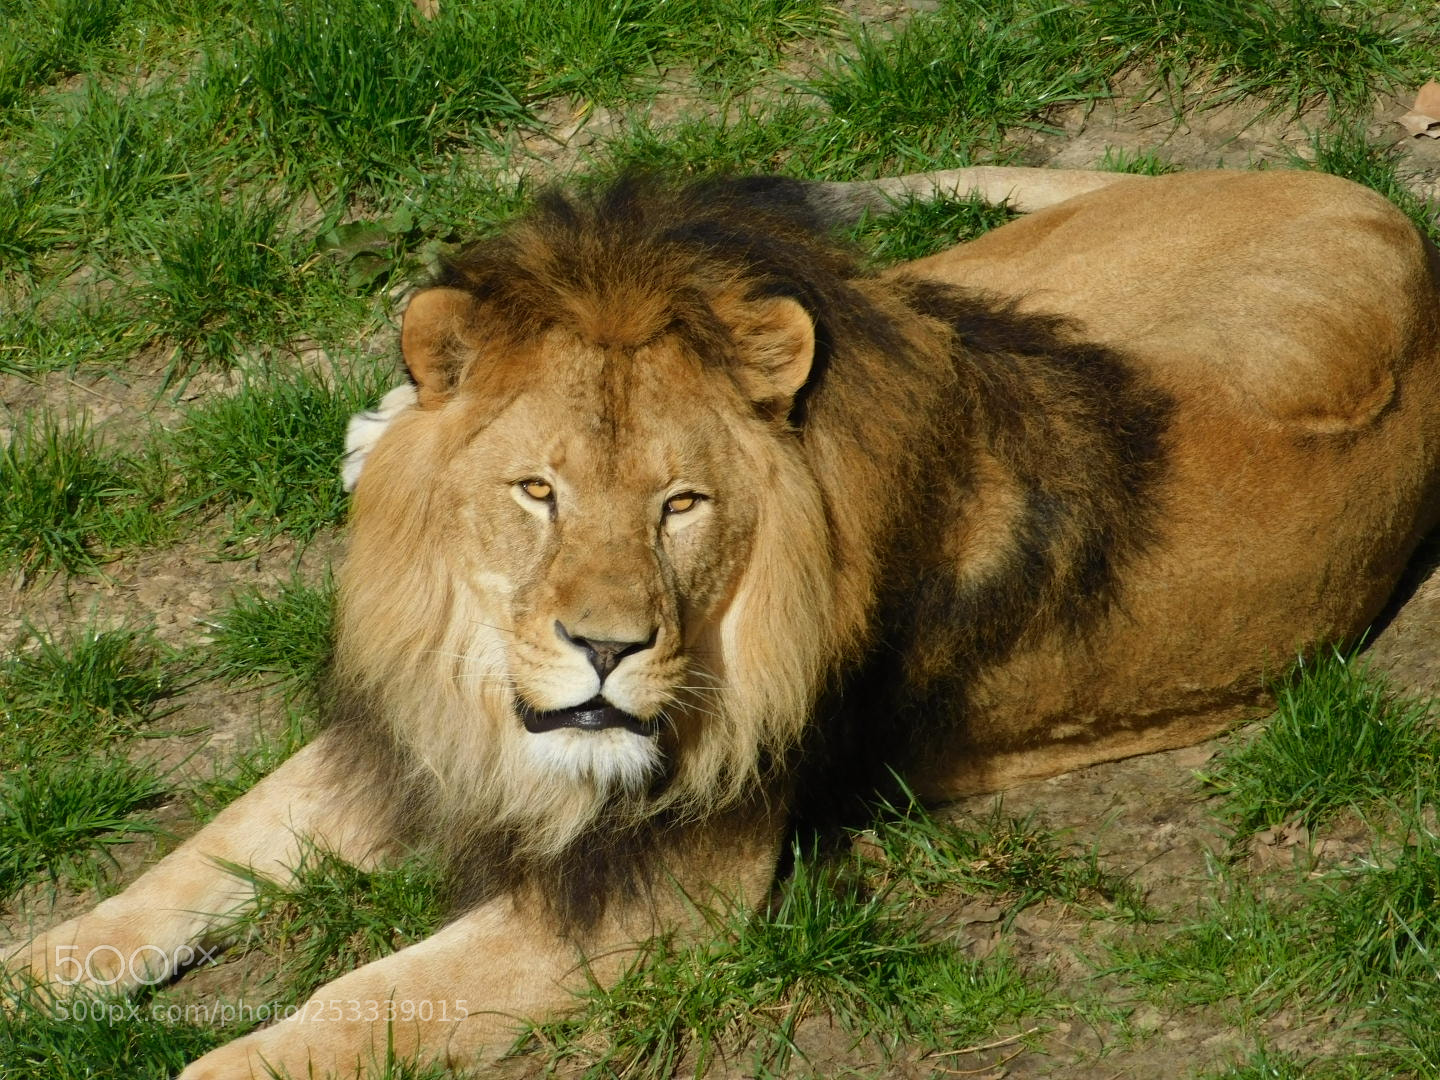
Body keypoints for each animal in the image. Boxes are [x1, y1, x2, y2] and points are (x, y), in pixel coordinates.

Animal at [10, 165, 1440, 1079]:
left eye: (680, 507)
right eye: (538, 492)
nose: (605, 650)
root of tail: (1381, 206)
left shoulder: (665, 900)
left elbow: (360, 1001)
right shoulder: (427, 726)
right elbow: (203, 854)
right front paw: (37, 972)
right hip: (965, 294)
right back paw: (379, 427)